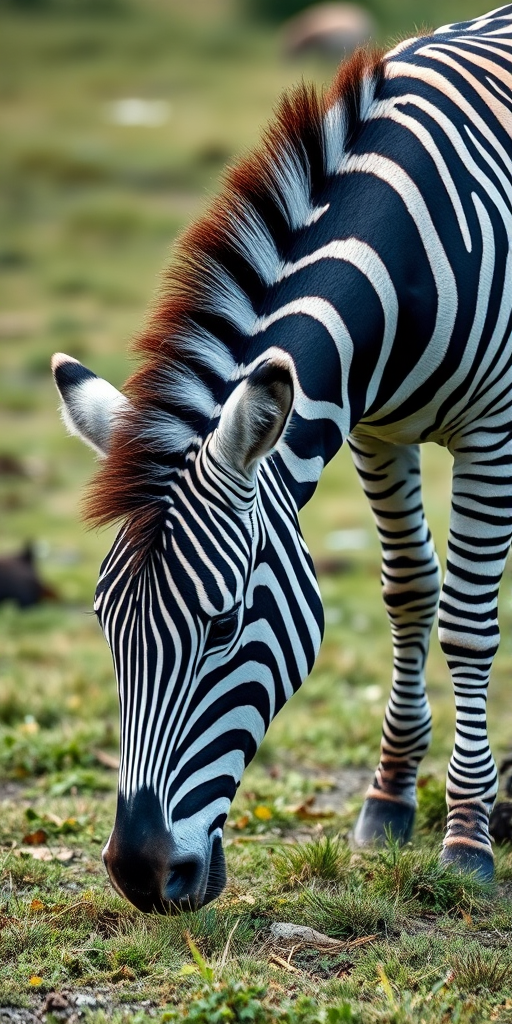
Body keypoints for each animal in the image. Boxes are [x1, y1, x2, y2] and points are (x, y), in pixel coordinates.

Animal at [53, 5, 512, 912]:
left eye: (224, 624)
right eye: (104, 622)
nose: (140, 875)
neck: (405, 255)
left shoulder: (490, 428)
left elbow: (469, 626)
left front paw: (468, 837)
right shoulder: (376, 431)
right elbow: (410, 594)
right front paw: (388, 800)